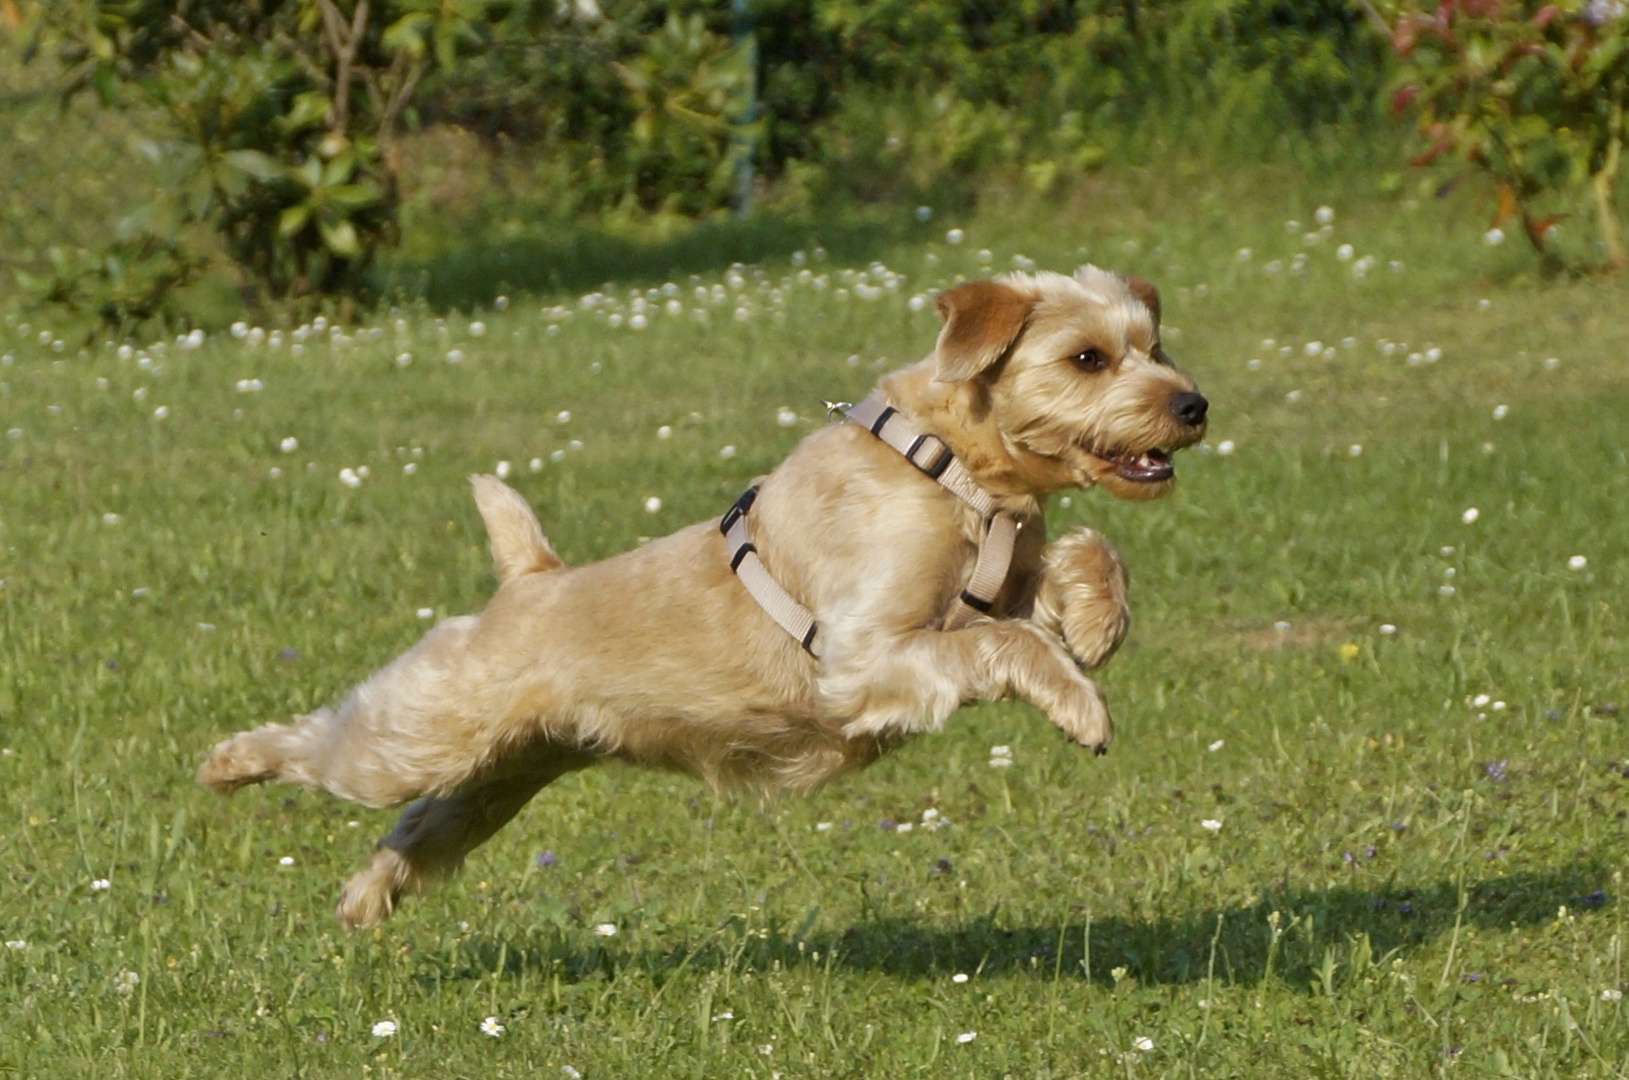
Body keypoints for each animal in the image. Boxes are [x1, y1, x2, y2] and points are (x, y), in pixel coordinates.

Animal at [197, 263, 1205, 931]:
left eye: (1155, 346)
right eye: (1087, 357)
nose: (1192, 404)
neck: (946, 465)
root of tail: (530, 578)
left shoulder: (1000, 579)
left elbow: (1085, 556)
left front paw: (1096, 623)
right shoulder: (869, 654)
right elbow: (1002, 644)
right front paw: (1080, 702)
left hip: (496, 778)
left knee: (414, 829)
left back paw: (363, 901)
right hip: (423, 730)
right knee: (325, 744)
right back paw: (227, 763)